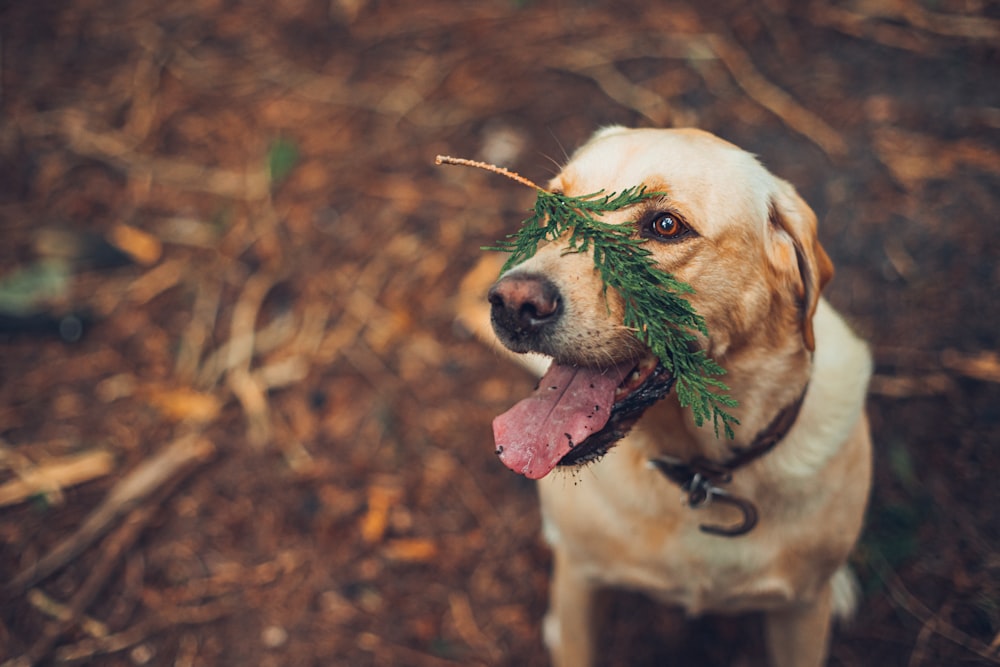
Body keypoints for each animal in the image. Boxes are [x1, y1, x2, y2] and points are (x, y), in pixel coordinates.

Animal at [458, 126, 872, 667]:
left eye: (666, 225)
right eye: (554, 207)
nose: (512, 303)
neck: (699, 473)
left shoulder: (799, 618)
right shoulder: (579, 585)